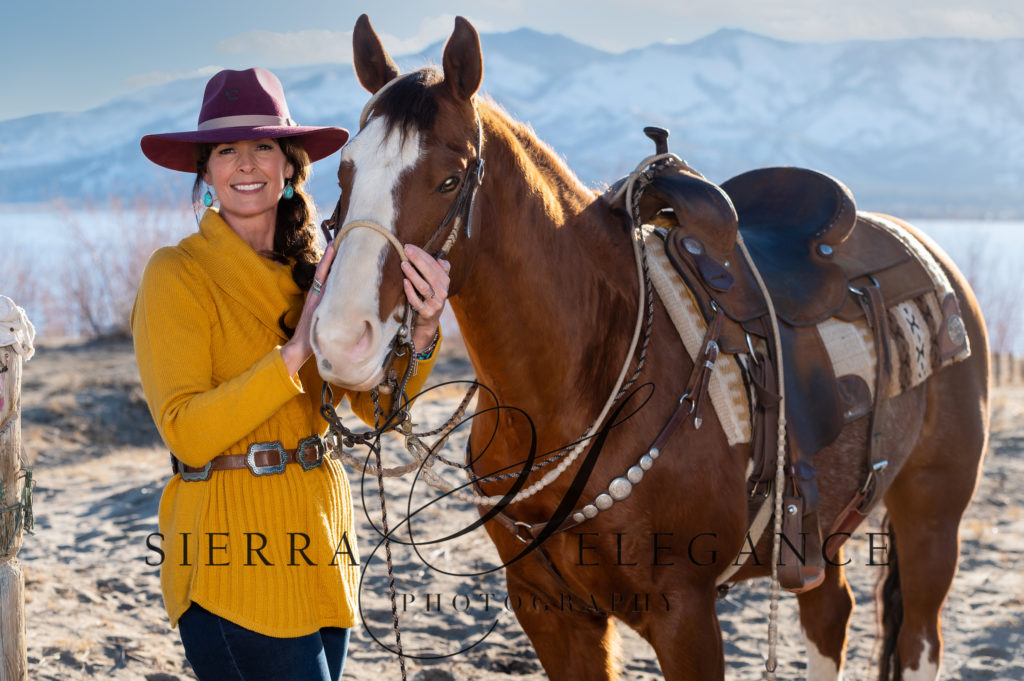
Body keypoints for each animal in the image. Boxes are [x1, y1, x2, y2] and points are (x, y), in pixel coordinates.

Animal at [310, 15, 990, 681]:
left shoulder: (684, 617)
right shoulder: (550, 614)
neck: (582, 383)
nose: (342, 340)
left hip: (932, 519)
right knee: (829, 614)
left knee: (919, 641)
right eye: (344, 171)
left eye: (449, 180)